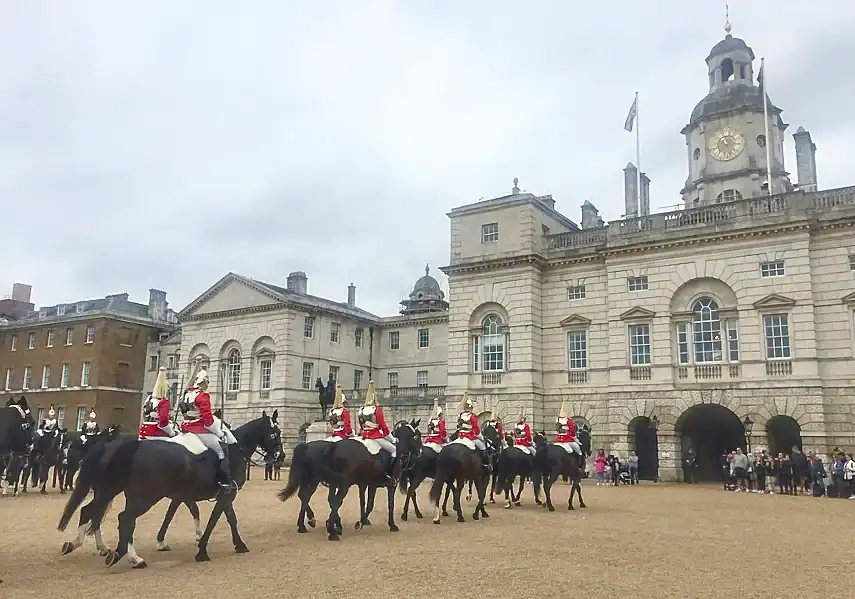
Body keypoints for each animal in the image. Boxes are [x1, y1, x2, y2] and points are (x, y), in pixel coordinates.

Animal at [60, 410, 280, 568]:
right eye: (274, 433)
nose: (280, 455)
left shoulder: (192, 495)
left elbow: (181, 515)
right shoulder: (225, 494)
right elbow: (221, 519)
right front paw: (205, 549)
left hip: (115, 492)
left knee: (95, 512)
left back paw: (94, 547)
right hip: (142, 496)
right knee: (122, 518)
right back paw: (126, 556)